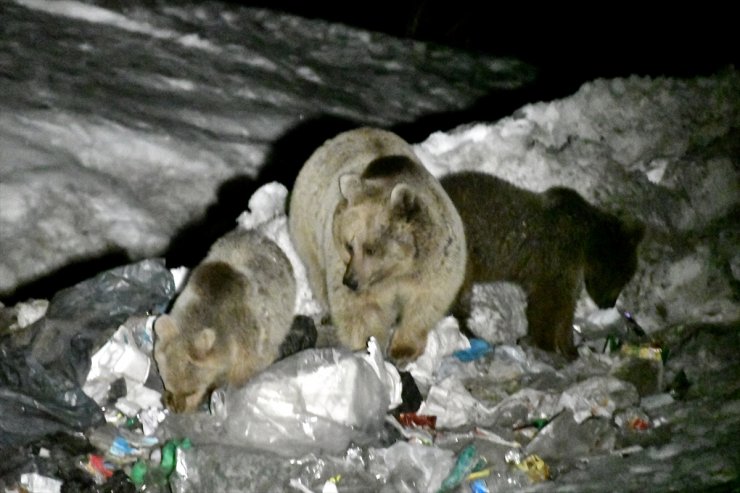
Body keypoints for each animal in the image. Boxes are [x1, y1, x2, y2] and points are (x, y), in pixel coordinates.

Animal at [442, 171, 644, 360]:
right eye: (623, 278)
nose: (609, 303)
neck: (585, 248)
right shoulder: (555, 262)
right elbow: (547, 304)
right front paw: (546, 344)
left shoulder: (568, 272)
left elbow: (566, 308)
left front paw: (570, 348)